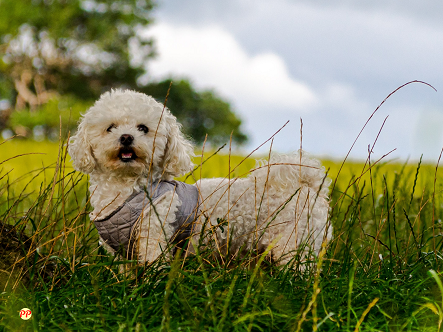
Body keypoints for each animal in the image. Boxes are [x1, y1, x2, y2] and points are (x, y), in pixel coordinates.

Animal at [69, 89, 332, 266]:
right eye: (110, 127)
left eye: (143, 128)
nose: (126, 137)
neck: (127, 189)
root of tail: (308, 185)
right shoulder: (121, 253)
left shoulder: (155, 235)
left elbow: (153, 267)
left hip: (297, 245)